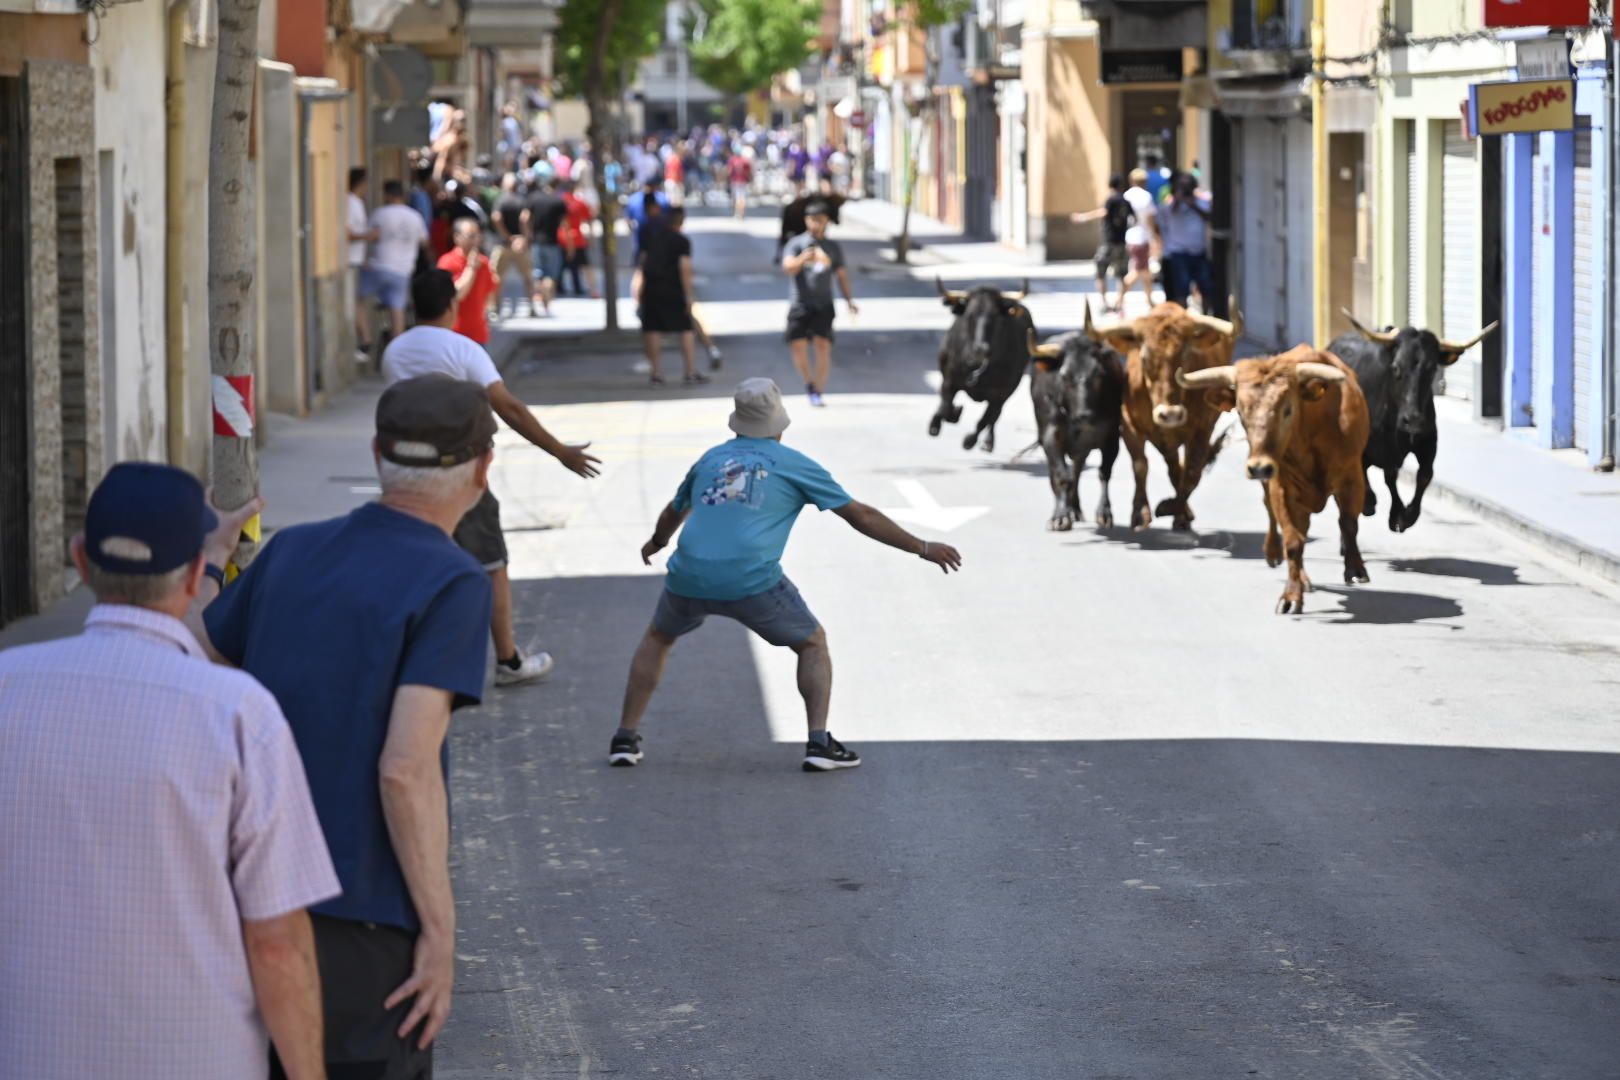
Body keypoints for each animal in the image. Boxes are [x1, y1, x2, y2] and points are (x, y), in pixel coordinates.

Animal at [933, 278, 1030, 453]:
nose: (982, 349)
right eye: (970, 315)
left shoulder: (1000, 395)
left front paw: (969, 440)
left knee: (993, 418)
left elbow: (985, 420)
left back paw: (988, 442)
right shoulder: (949, 382)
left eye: (996, 315)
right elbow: (946, 407)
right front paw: (945, 419)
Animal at [1023, 330, 1127, 531]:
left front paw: (1104, 513)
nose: (1084, 415)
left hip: (1082, 450)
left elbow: (1104, 473)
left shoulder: (1112, 438)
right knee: (1059, 476)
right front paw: (1060, 517)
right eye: (1064, 376)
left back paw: (1075, 509)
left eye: (1098, 374)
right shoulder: (1051, 436)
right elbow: (1062, 477)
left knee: (1076, 472)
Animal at [1082, 302, 1244, 531]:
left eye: (1185, 356)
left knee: (1182, 470)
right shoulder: (1129, 424)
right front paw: (1140, 513)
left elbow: (1192, 472)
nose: (1170, 414)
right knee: (1173, 467)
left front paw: (1172, 509)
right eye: (1144, 358)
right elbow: (1140, 464)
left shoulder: (1202, 428)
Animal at [1172, 348, 1373, 615]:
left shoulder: (1352, 476)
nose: (1259, 467)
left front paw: (1355, 568)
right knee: (1275, 514)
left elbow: (1349, 524)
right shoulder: (1282, 487)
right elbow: (1293, 540)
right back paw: (1280, 559)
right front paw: (1291, 595)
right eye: (1240, 411)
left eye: (1288, 409)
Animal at [1334, 310, 1496, 534]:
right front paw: (1384, 508)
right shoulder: (1378, 447)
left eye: (1432, 369)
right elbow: (1385, 475)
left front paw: (1407, 515)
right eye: (1396, 368)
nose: (1413, 420)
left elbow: (1424, 474)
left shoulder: (1428, 442)